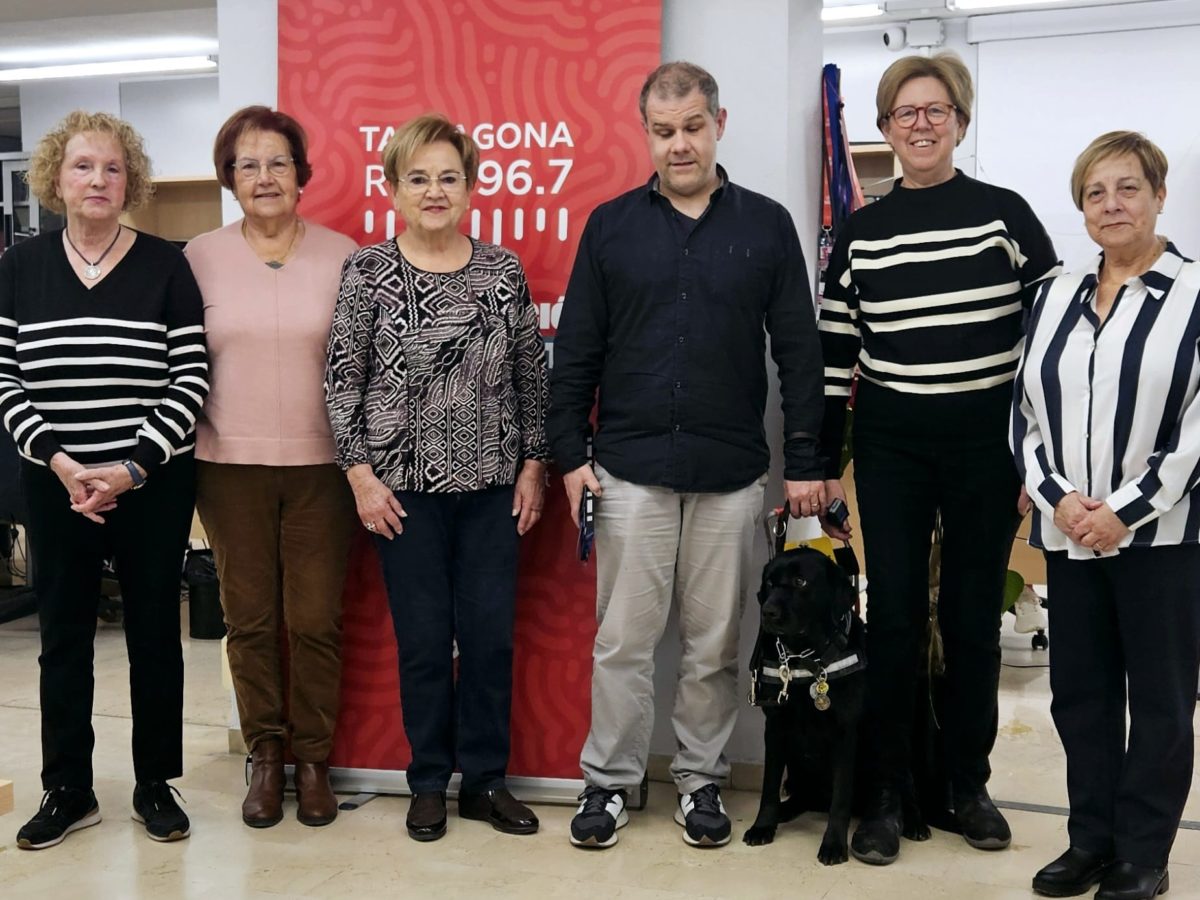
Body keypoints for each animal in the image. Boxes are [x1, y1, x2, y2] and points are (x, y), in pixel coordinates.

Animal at [739, 547, 864, 864]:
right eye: (770, 583)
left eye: (800, 582)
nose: (768, 612)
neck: (806, 659)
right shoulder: (775, 729)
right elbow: (769, 787)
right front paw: (763, 826)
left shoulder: (845, 733)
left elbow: (841, 798)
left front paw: (833, 844)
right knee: (803, 796)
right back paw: (784, 811)